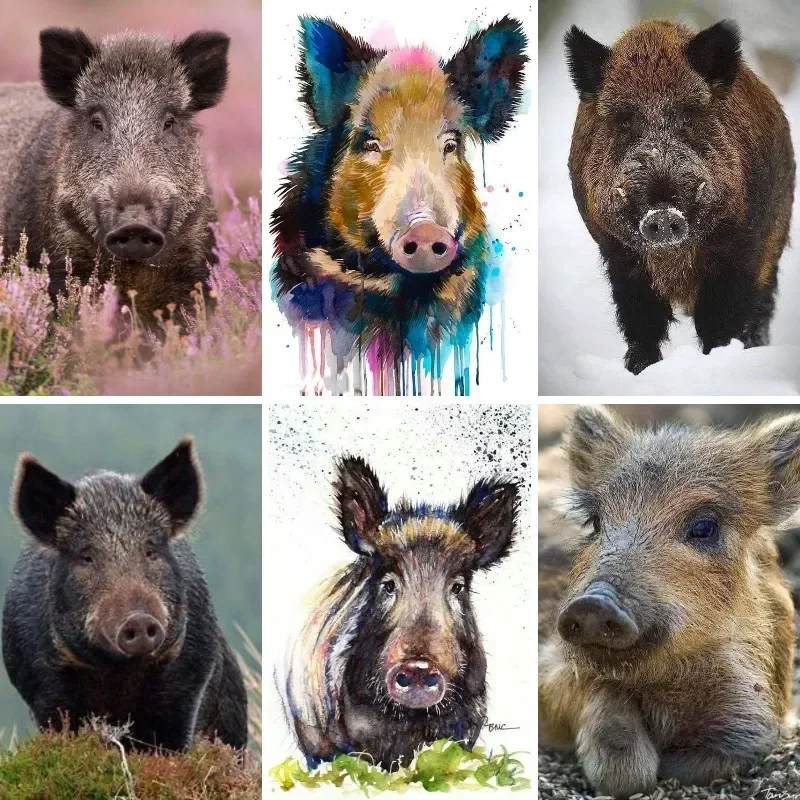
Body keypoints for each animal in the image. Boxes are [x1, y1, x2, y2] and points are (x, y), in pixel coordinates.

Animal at [0, 28, 229, 329]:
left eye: (169, 122)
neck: (132, 274)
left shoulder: (197, 262)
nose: (135, 224)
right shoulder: (56, 262)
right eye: (97, 123)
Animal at [2, 439, 248, 752]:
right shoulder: (43, 686)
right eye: (86, 557)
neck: (116, 673)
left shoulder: (188, 680)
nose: (139, 619)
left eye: (151, 550)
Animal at [538, 406, 798, 797]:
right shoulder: (548, 664)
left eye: (704, 526)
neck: (666, 683)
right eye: (595, 523)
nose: (594, 603)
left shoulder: (759, 711)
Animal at [565, 20, 795, 374]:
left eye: (688, 116)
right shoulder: (617, 253)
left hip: (776, 239)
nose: (662, 213)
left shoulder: (740, 247)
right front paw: (640, 370)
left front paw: (717, 361)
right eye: (625, 121)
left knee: (762, 307)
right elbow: (642, 320)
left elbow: (719, 319)